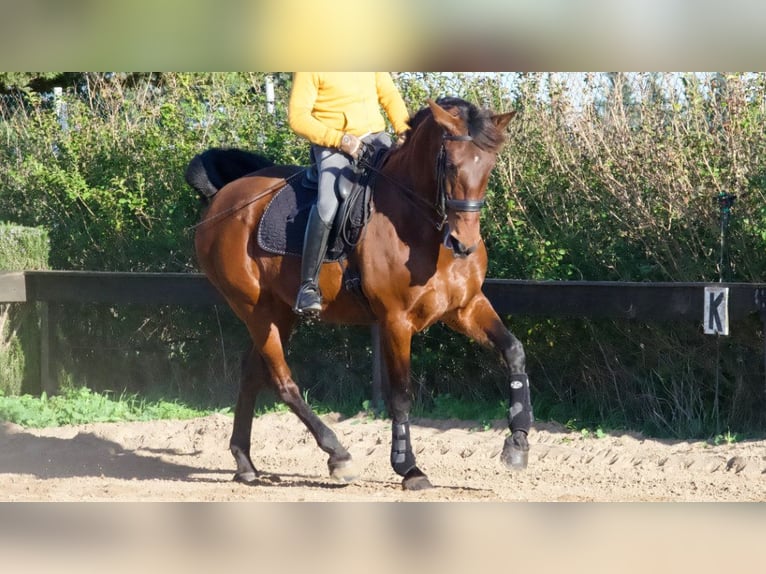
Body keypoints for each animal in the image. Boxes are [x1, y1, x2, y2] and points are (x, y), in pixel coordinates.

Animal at [187, 97, 536, 492]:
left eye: (489, 165)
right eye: (450, 164)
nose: (463, 244)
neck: (421, 227)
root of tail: (223, 198)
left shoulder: (464, 307)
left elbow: (514, 351)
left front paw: (517, 443)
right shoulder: (395, 321)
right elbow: (400, 394)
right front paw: (408, 467)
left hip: (279, 312)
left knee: (251, 373)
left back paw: (245, 463)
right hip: (255, 309)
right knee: (281, 381)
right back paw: (338, 455)